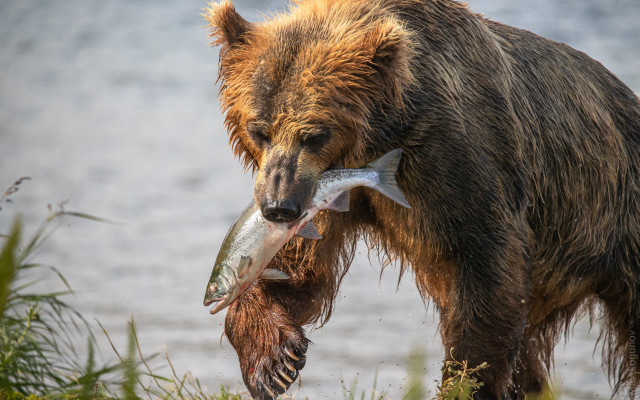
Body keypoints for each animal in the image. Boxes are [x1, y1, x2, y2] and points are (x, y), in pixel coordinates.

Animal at [204, 0, 640, 398]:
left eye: (314, 133)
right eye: (258, 129)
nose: (278, 206)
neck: (381, 135)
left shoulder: (455, 163)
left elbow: (488, 271)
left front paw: (463, 381)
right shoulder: (330, 194)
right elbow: (301, 268)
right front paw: (273, 361)